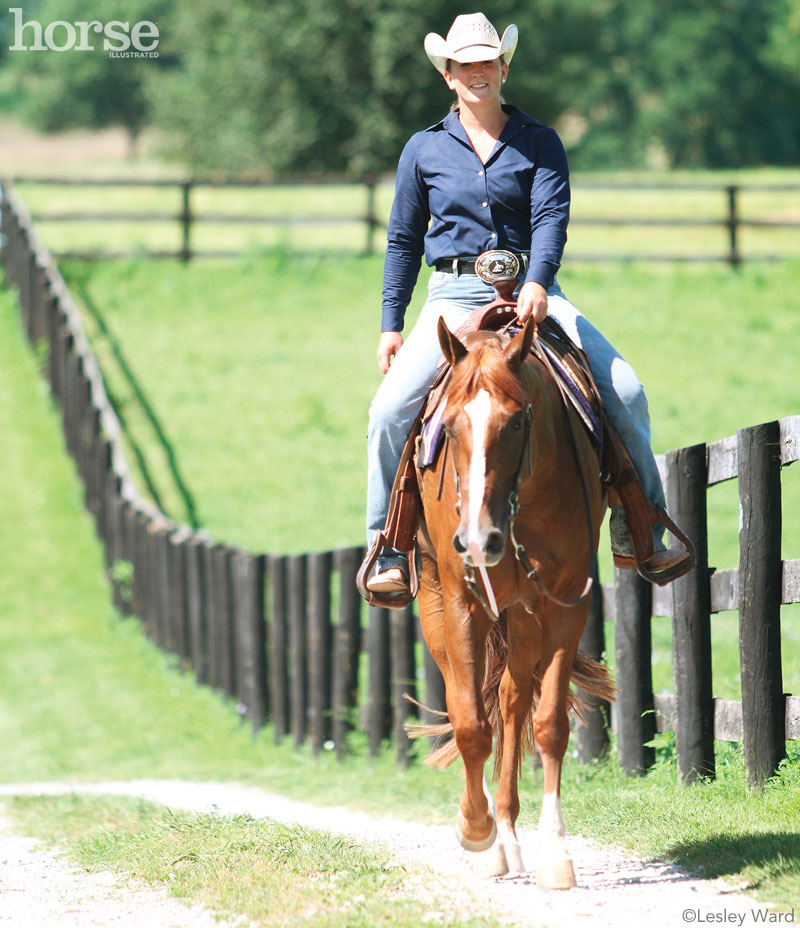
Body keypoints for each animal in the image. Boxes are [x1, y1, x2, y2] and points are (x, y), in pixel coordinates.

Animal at [412, 316, 612, 888]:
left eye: (519, 421)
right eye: (449, 425)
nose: (479, 539)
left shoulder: (565, 604)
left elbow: (548, 725)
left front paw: (556, 851)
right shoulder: (461, 604)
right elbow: (469, 724)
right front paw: (476, 832)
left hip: (522, 618)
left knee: (511, 700)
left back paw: (509, 829)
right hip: (438, 605)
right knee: (469, 702)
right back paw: (489, 833)